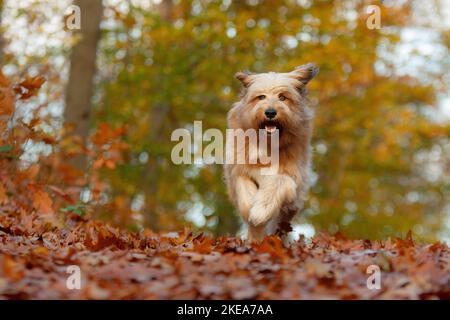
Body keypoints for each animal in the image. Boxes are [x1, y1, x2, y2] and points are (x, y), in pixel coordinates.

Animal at [224, 62, 316, 242]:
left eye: (282, 97)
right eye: (261, 97)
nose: (270, 112)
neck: (267, 145)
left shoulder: (293, 178)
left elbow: (279, 182)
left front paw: (260, 211)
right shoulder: (238, 170)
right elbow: (244, 189)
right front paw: (252, 213)